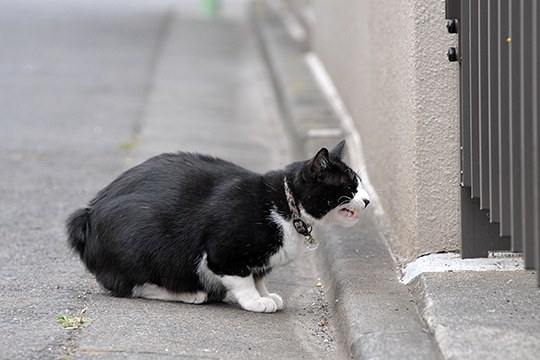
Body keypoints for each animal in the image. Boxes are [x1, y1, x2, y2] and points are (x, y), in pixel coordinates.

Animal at [66, 141, 372, 312]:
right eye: (350, 187)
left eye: (359, 184)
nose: (368, 199)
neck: (286, 207)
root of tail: (87, 215)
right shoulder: (223, 252)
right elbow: (242, 277)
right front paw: (255, 301)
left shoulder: (258, 261)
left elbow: (258, 276)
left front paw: (265, 294)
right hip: (141, 243)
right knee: (128, 285)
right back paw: (190, 294)